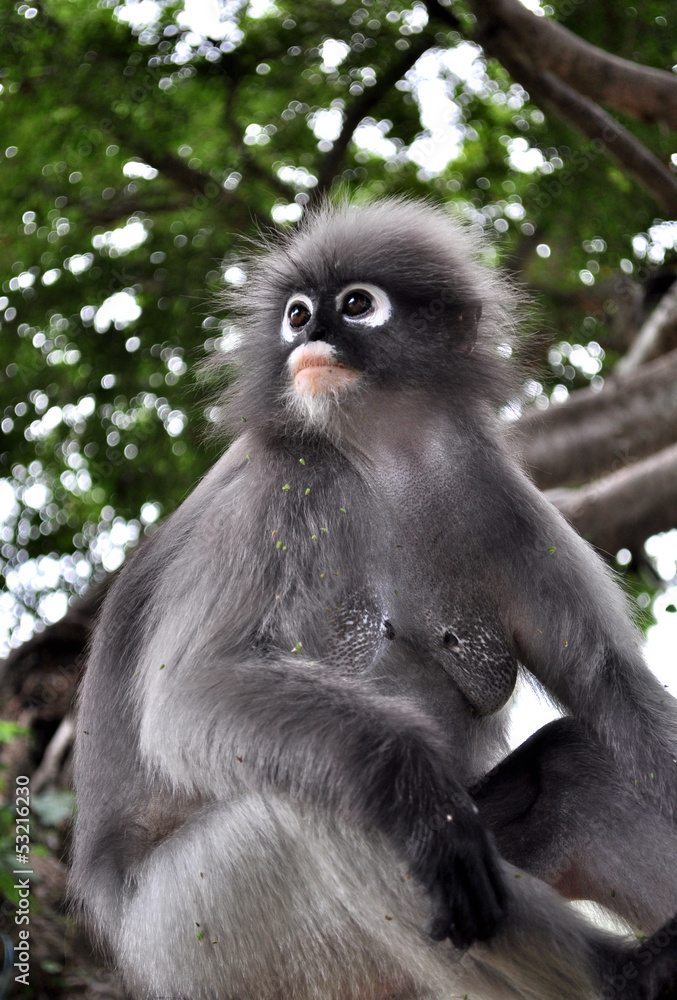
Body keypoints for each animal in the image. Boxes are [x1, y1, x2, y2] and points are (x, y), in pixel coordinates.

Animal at [70, 198, 677, 1000]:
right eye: (297, 314)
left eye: (356, 305)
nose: (310, 337)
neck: (388, 456)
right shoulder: (282, 484)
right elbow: (187, 697)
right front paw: (418, 797)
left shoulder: (498, 495)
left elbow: (614, 688)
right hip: (199, 935)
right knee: (327, 799)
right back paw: (619, 970)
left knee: (579, 764)